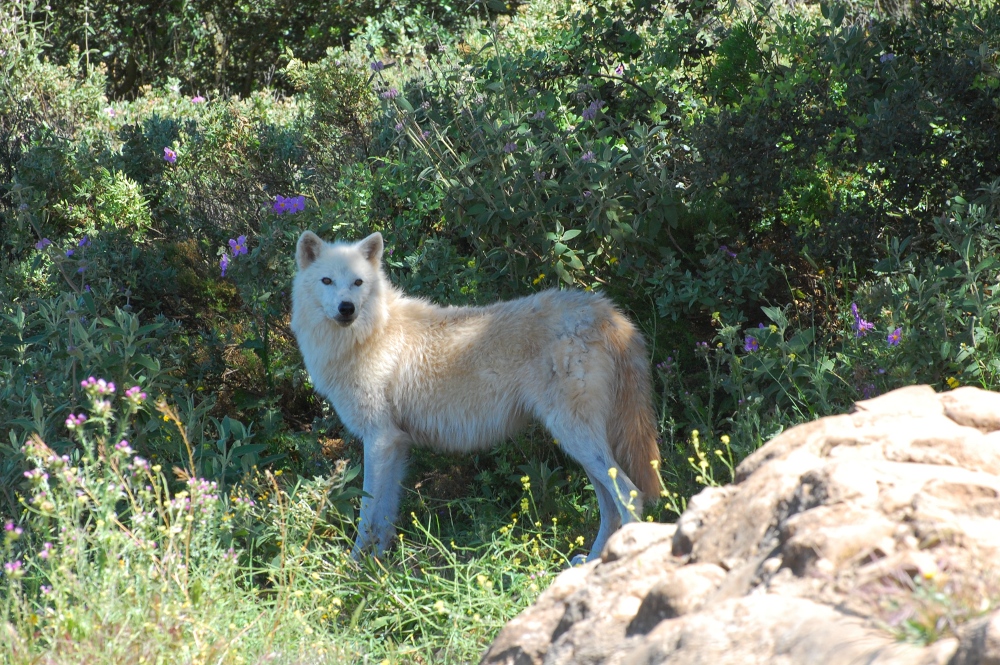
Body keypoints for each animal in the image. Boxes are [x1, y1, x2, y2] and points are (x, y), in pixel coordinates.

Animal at [290, 231, 661, 561]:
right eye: (327, 281)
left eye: (357, 283)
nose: (347, 308)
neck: (370, 334)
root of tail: (608, 312)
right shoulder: (395, 443)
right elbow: (385, 515)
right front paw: (379, 564)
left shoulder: (379, 440)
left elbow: (367, 513)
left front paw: (354, 569)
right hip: (582, 446)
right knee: (610, 506)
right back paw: (592, 561)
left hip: (576, 438)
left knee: (629, 495)